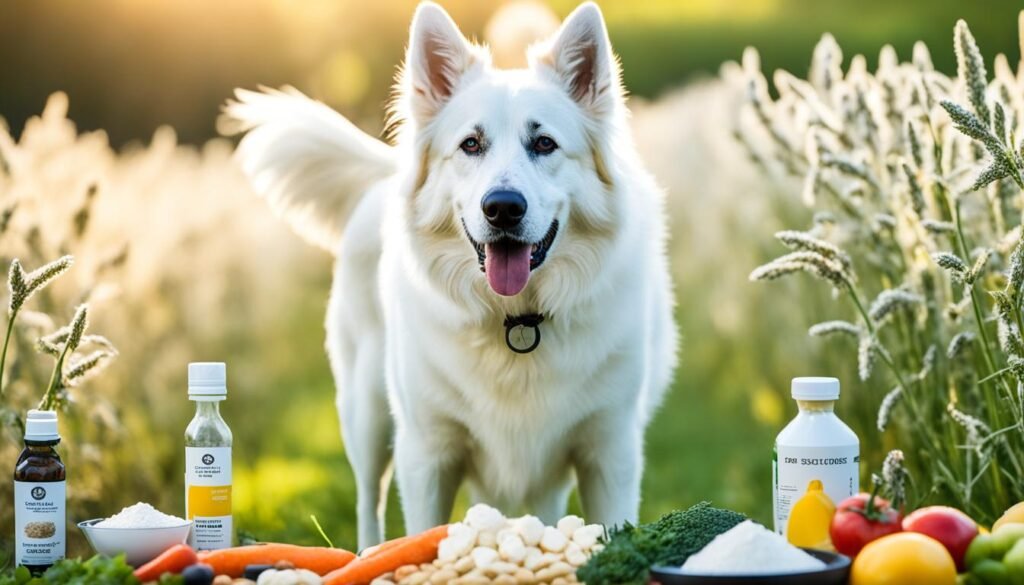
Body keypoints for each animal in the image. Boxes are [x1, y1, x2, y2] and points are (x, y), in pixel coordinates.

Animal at [227, 1, 675, 549]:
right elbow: (420, 534)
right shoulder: (427, 454)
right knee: (367, 502)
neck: (516, 321)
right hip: (367, 415)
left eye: (545, 143)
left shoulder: (609, 452)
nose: (502, 208)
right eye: (471, 144)